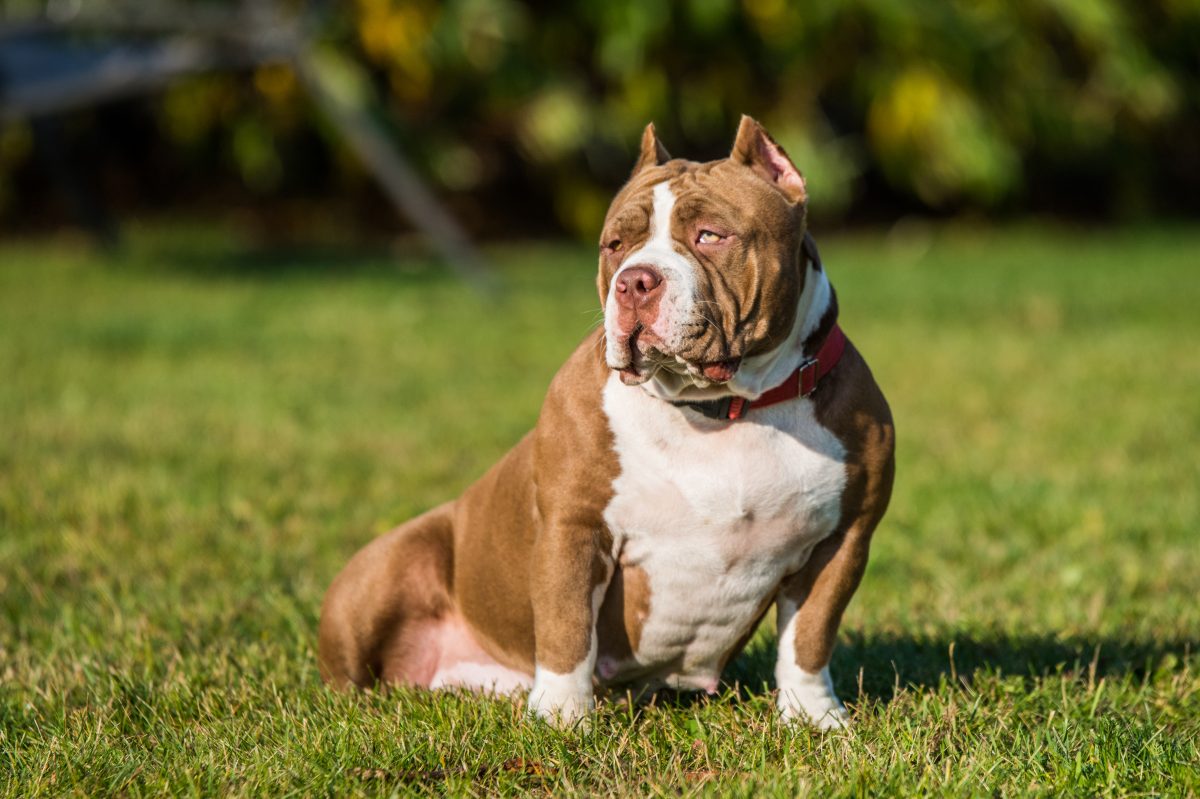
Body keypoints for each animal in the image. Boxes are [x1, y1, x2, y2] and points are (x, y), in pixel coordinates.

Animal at [319, 113, 892, 729]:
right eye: (616, 245)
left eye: (710, 236)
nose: (635, 280)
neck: (722, 409)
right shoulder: (574, 528)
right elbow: (566, 628)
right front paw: (561, 718)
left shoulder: (843, 539)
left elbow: (809, 638)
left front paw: (814, 717)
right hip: (387, 569)